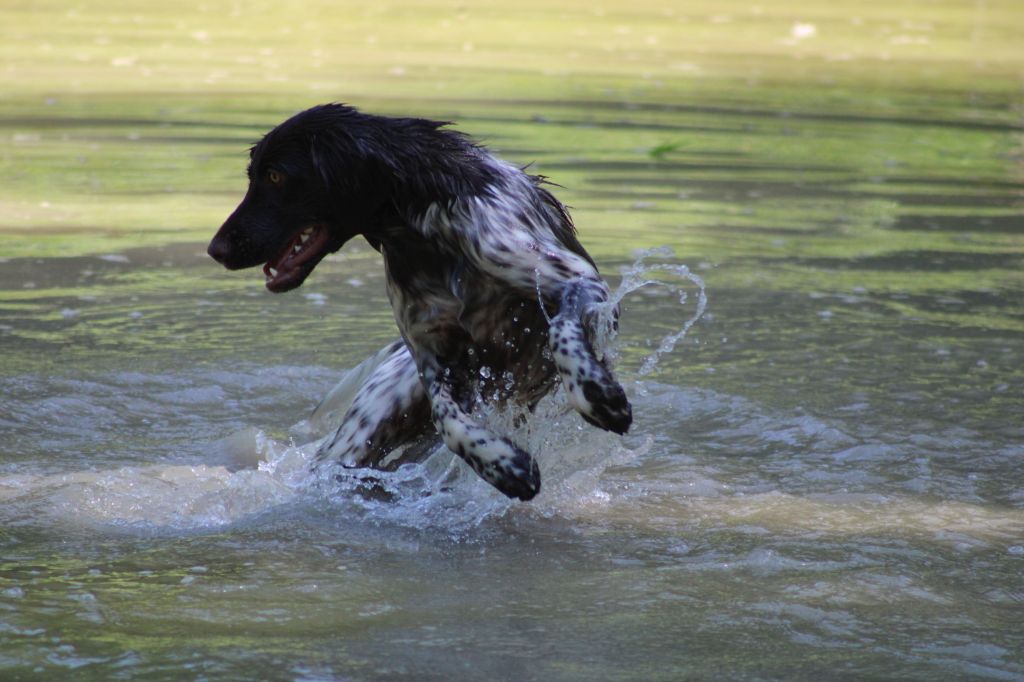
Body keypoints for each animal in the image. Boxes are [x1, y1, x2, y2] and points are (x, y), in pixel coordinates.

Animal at [205, 103, 630, 497]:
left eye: (276, 176)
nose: (216, 250)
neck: (423, 236)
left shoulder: (580, 282)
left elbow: (561, 332)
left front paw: (597, 395)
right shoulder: (431, 358)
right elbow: (447, 418)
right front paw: (502, 464)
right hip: (365, 430)